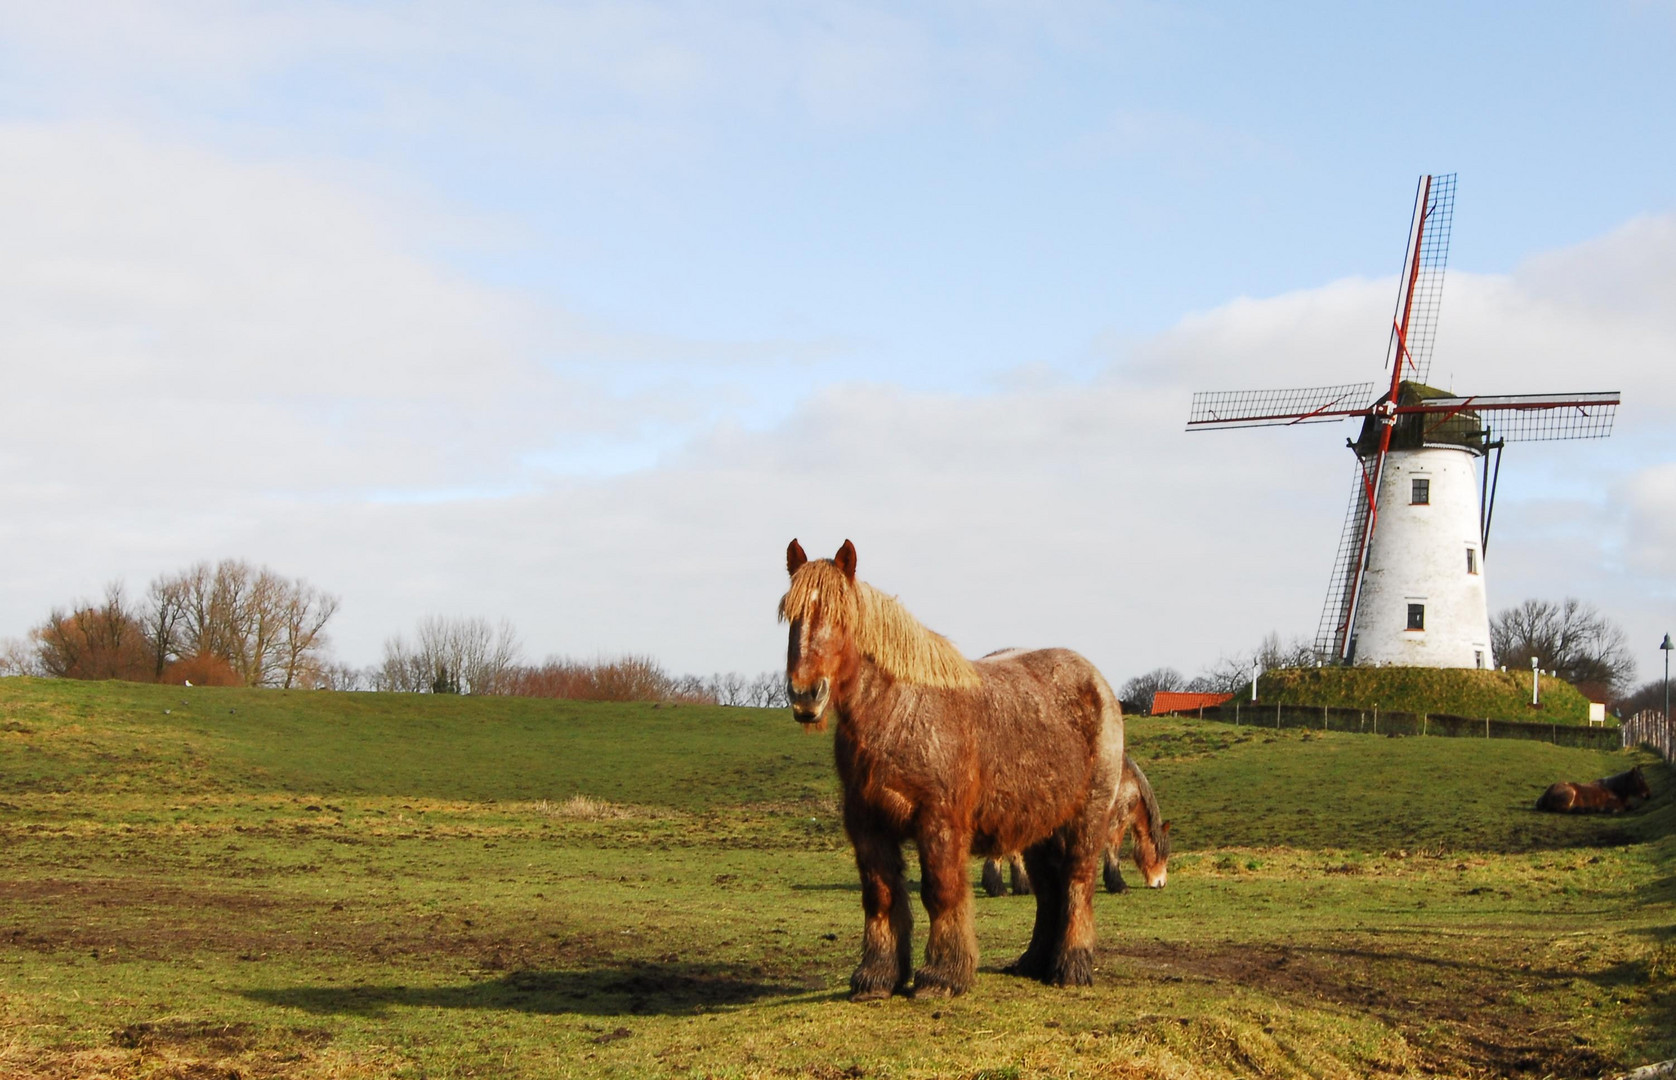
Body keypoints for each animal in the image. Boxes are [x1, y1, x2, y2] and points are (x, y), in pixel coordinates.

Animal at [781, 536, 1126, 999]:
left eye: (842, 617)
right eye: (791, 615)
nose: (805, 695)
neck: (899, 712)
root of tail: (1098, 683)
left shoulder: (939, 822)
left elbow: (941, 892)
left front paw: (942, 975)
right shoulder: (867, 825)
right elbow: (880, 895)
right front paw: (877, 976)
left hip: (1086, 816)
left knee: (1077, 881)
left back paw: (1070, 967)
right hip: (1038, 828)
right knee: (1049, 892)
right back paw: (1034, 963)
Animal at [978, 751, 1173, 892]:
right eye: (1160, 854)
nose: (1161, 882)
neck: (1126, 782)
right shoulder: (1116, 822)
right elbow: (1112, 850)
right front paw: (1118, 884)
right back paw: (1000, 887)